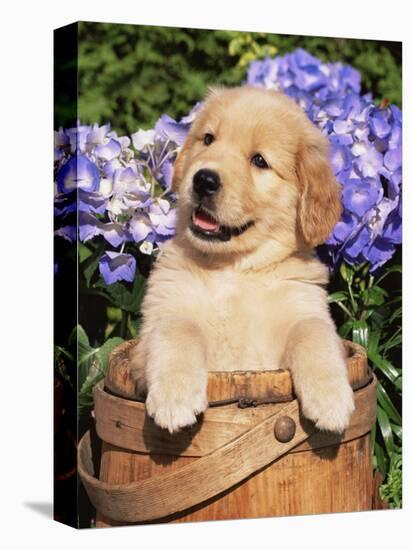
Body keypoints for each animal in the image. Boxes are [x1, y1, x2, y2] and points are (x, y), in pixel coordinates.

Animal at [131, 87, 354, 436]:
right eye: (208, 139)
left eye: (259, 160)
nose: (204, 180)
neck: (233, 270)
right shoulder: (156, 322)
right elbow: (177, 329)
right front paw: (174, 397)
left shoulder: (304, 308)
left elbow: (314, 334)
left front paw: (331, 399)